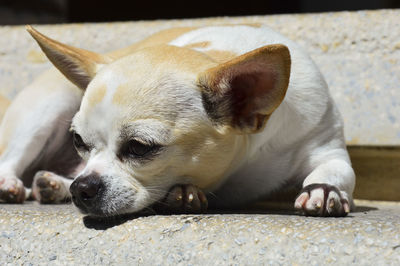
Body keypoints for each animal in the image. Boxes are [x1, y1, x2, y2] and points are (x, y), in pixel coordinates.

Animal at [0, 23, 354, 217]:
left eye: (139, 147)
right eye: (78, 141)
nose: (83, 189)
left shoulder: (324, 144)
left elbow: (337, 170)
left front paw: (325, 190)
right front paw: (184, 192)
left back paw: (53, 185)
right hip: (47, 107)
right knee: (12, 159)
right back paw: (16, 185)